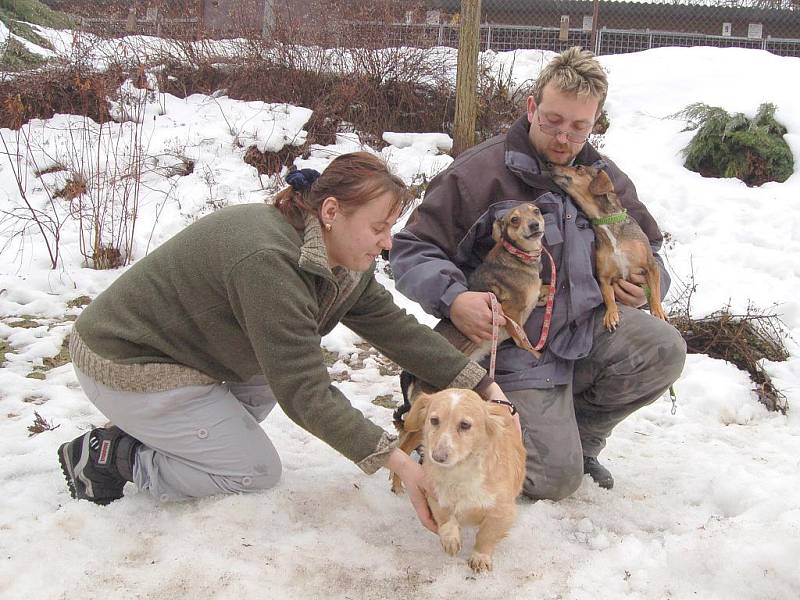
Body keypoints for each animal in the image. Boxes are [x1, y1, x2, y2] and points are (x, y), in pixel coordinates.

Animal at [392, 390, 528, 572]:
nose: (438, 457)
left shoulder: (502, 511)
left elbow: (486, 535)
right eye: (434, 420)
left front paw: (480, 557)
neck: (458, 472)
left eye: (465, 425)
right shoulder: (434, 495)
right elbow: (445, 517)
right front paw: (451, 539)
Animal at [552, 164, 668, 330]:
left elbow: (655, 292)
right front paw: (611, 315)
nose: (550, 166)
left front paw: (658, 310)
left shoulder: (651, 266)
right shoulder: (604, 278)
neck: (605, 222)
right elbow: (609, 298)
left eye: (579, 167)